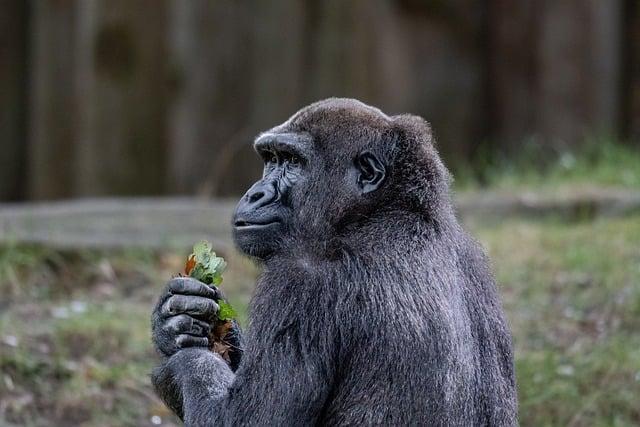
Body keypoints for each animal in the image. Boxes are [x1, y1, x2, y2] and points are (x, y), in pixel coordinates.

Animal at [151, 98, 520, 426]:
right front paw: (177, 317)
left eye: (292, 161)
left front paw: (176, 367)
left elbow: (243, 420)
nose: (255, 193)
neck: (380, 211)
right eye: (271, 159)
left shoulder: (299, 279)